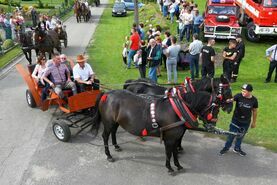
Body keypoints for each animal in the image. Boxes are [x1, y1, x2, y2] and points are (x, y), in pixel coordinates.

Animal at [92, 89, 222, 173]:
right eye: (215, 109)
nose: (212, 126)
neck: (177, 111)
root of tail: (107, 93)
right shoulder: (169, 139)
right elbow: (169, 153)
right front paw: (169, 168)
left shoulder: (175, 138)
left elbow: (175, 152)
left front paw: (178, 165)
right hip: (108, 122)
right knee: (105, 136)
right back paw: (108, 155)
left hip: (115, 122)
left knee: (113, 132)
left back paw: (116, 146)